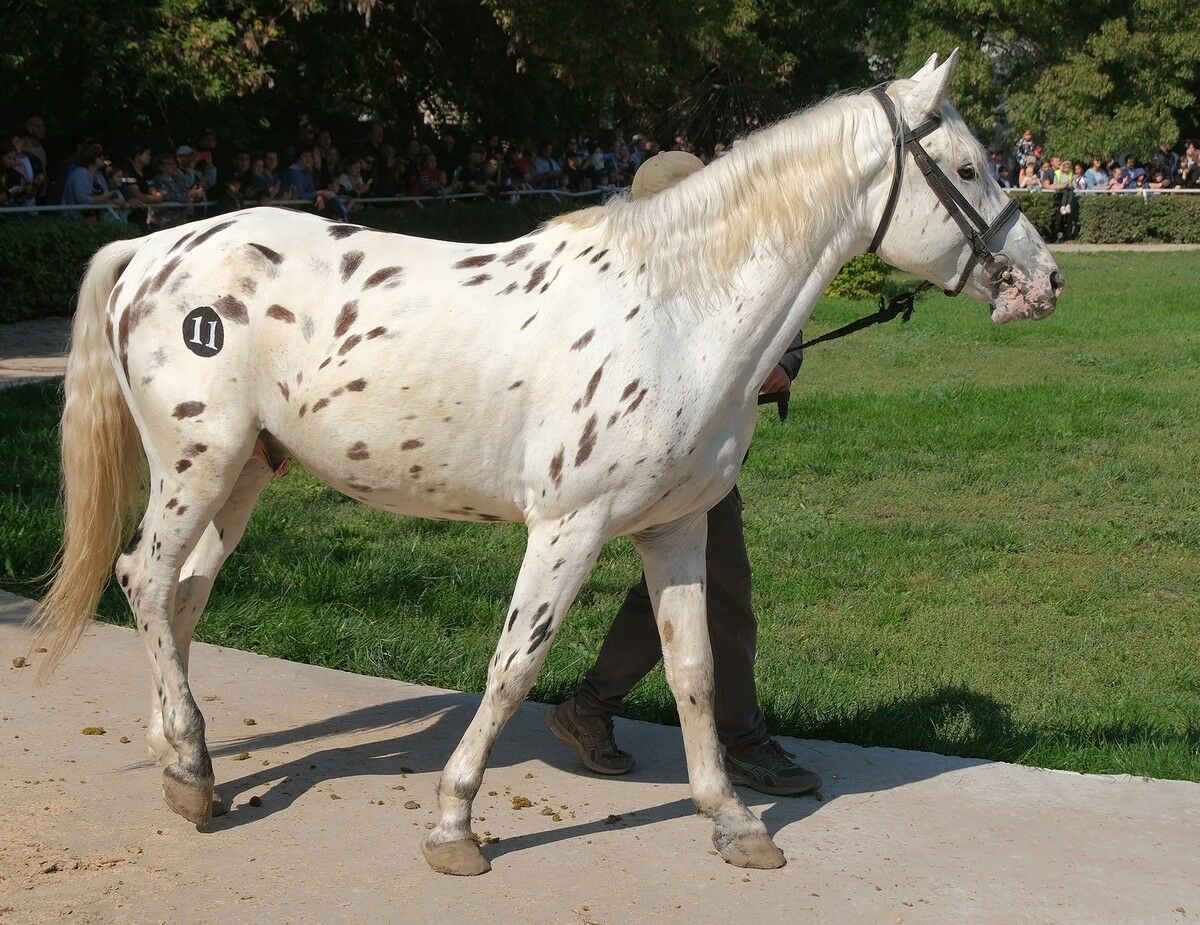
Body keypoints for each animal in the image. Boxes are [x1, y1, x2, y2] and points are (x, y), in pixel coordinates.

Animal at [31, 51, 1061, 876]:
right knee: (145, 577)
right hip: (196, 464)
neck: (678, 309)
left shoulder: (674, 527)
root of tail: (154, 246)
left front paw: (733, 819)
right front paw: (455, 826)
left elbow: (693, 669)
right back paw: (192, 769)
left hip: (246, 471)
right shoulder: (569, 526)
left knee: (183, 595)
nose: (1043, 282)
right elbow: (513, 666)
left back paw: (182, 762)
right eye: (968, 167)